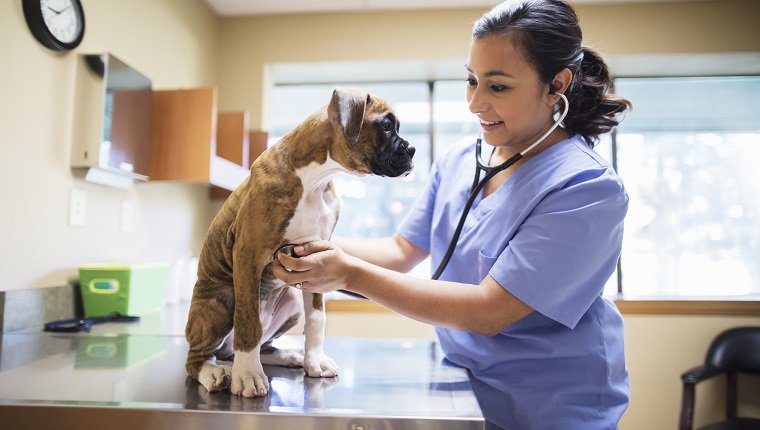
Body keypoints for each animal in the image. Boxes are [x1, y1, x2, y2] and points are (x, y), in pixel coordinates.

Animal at [183, 86, 416, 396]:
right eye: (387, 125)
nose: (412, 150)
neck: (315, 180)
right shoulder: (248, 254)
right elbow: (248, 322)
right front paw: (248, 376)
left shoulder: (315, 257)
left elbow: (317, 318)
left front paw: (314, 360)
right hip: (223, 299)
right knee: (199, 356)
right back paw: (216, 372)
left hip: (290, 300)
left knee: (261, 344)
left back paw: (288, 356)